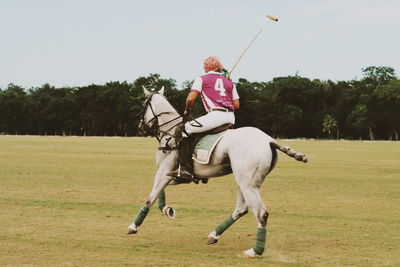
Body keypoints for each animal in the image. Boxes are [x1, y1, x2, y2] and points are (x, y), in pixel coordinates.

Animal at [126, 87, 308, 258]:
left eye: (143, 105)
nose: (139, 128)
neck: (169, 134)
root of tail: (269, 140)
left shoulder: (164, 172)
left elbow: (150, 197)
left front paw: (133, 226)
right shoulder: (174, 176)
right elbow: (160, 193)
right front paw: (167, 210)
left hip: (247, 183)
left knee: (260, 213)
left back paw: (254, 251)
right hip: (244, 181)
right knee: (241, 208)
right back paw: (214, 235)